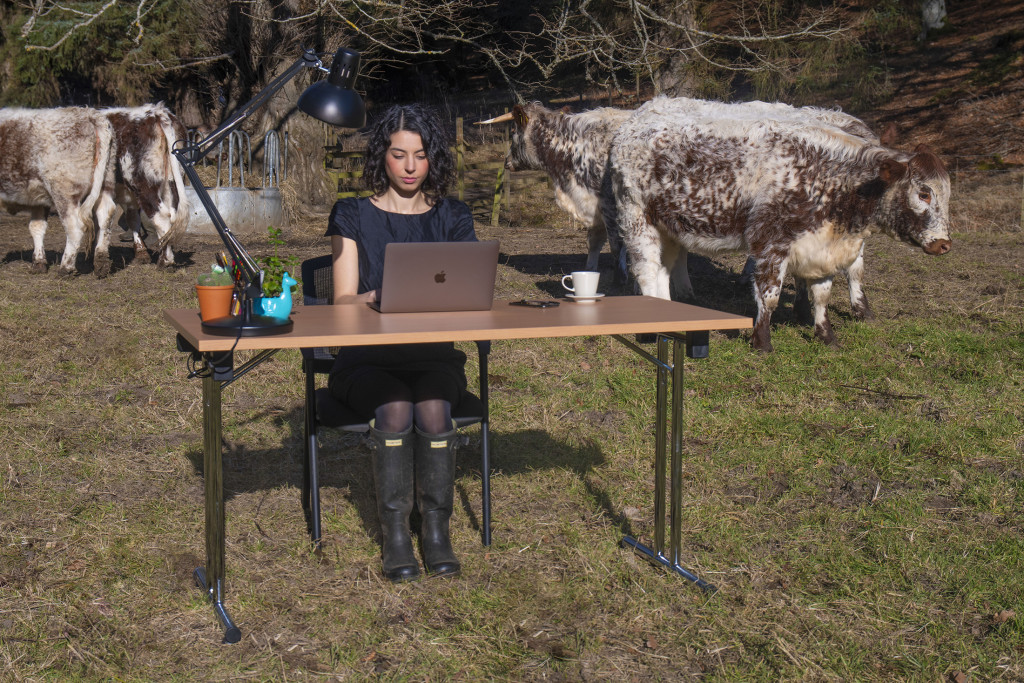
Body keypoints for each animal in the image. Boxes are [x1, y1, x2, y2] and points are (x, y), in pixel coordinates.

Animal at [0, 107, 113, 274]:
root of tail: (89, 114)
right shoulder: (38, 199)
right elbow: (37, 226)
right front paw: (39, 262)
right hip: (106, 183)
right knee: (106, 216)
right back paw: (102, 263)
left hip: (64, 192)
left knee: (75, 227)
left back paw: (66, 267)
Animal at [93, 102, 189, 276]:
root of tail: (157, 112)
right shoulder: (127, 195)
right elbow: (132, 219)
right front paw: (141, 253)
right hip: (171, 183)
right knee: (172, 218)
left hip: (144, 185)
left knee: (161, 217)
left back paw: (165, 262)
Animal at [606, 101, 950, 352]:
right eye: (923, 192)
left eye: (947, 193)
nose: (943, 243)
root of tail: (640, 116)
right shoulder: (771, 242)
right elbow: (769, 296)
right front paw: (762, 342)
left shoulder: (822, 247)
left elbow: (823, 294)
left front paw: (827, 335)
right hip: (637, 218)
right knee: (647, 270)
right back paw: (650, 330)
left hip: (669, 227)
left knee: (665, 269)